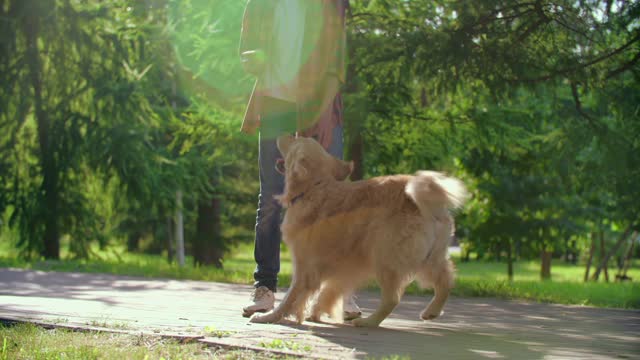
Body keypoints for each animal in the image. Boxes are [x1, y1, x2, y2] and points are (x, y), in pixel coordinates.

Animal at [251, 134, 470, 326]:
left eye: (296, 140)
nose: (281, 132)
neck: (315, 187)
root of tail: (424, 200)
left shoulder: (305, 267)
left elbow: (290, 298)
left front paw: (269, 317)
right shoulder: (343, 265)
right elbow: (329, 291)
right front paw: (317, 312)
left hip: (386, 258)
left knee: (392, 298)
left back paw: (367, 322)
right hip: (430, 257)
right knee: (446, 281)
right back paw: (431, 311)